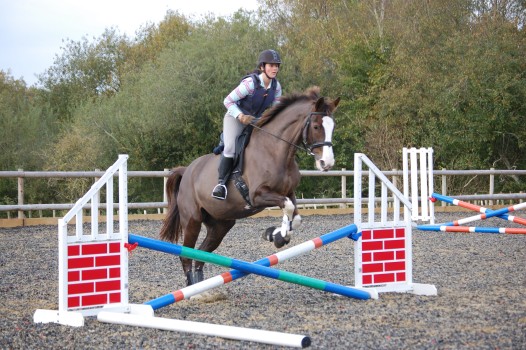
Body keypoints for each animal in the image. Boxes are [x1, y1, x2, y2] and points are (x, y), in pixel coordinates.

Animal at [161, 87, 342, 284]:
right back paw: (192, 285)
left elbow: (295, 215)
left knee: (201, 253)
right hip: (192, 221)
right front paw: (279, 236)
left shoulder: (289, 191)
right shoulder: (257, 195)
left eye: (333, 127)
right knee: (186, 254)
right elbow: (287, 206)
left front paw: (275, 234)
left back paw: (201, 284)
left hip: (221, 224)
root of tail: (187, 171)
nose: (327, 163)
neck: (276, 151)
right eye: (316, 126)